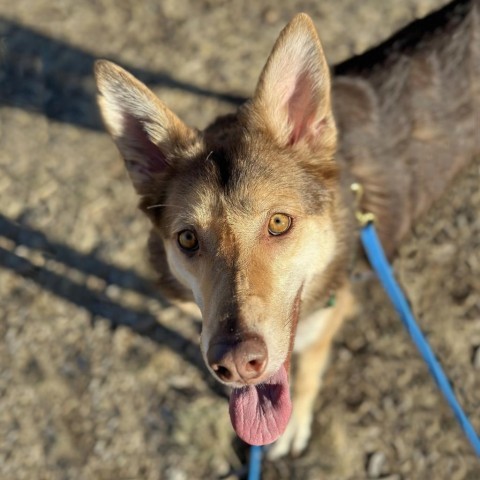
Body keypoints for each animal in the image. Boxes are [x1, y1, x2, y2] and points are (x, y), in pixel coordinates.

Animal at [93, 0, 476, 458]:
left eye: (278, 222)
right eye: (187, 239)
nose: (237, 363)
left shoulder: (328, 315)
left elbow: (308, 370)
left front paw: (294, 426)